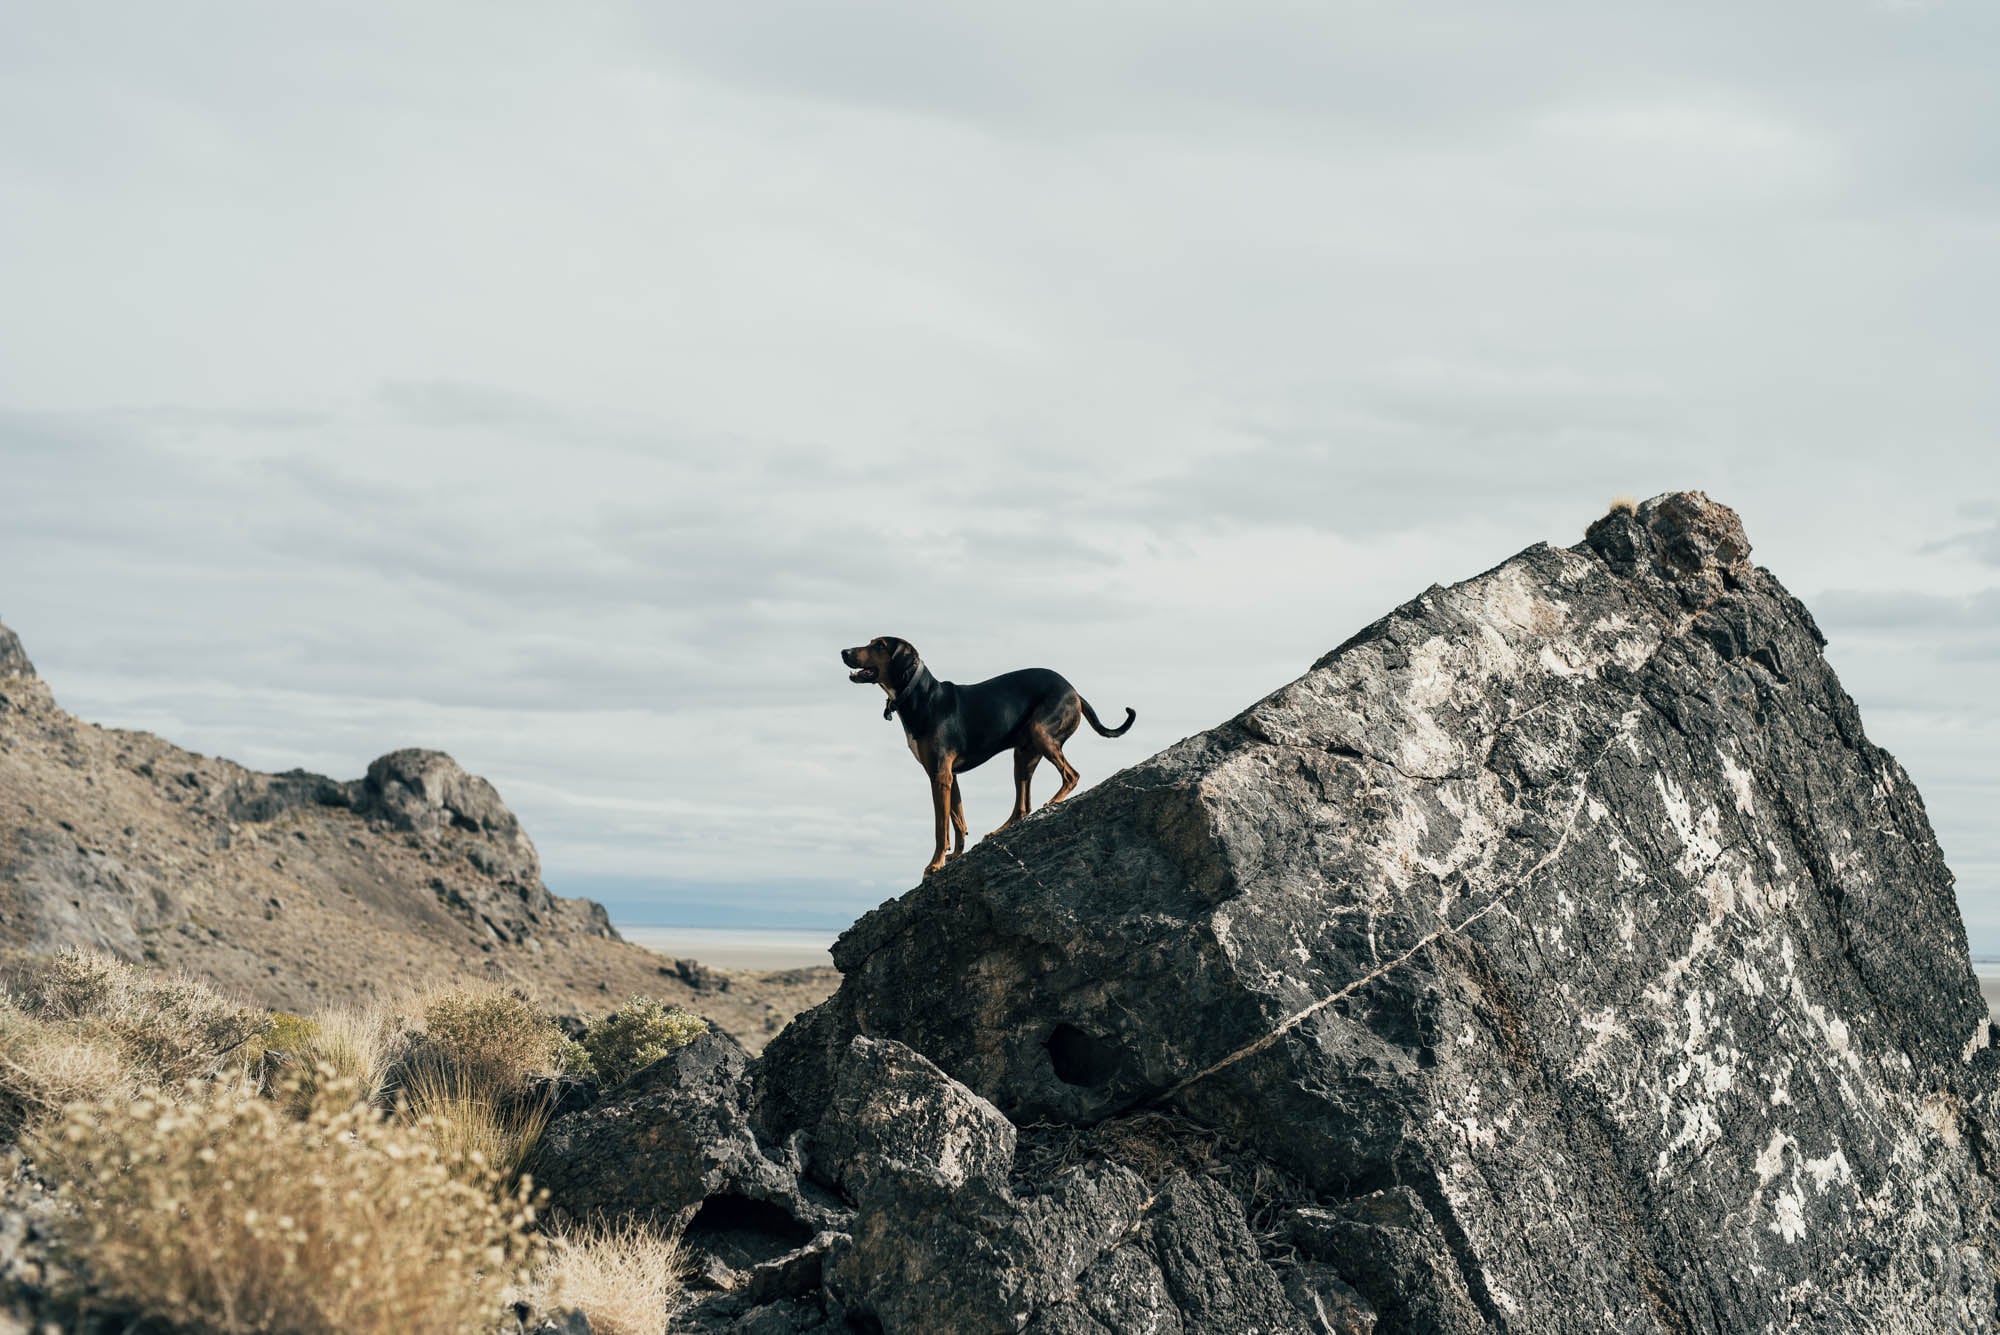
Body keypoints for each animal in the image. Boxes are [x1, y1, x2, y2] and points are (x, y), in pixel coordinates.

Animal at [836, 635, 1136, 875]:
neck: (921, 695)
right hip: (1023, 754)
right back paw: (1001, 830)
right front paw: (956, 855)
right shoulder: (948, 775)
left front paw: (935, 864)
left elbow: (941, 828)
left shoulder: (940, 775)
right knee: (1022, 808)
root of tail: (1074, 691)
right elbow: (958, 820)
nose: (844, 652)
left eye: (879, 645)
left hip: (1041, 733)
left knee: (1071, 775)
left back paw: (1052, 802)